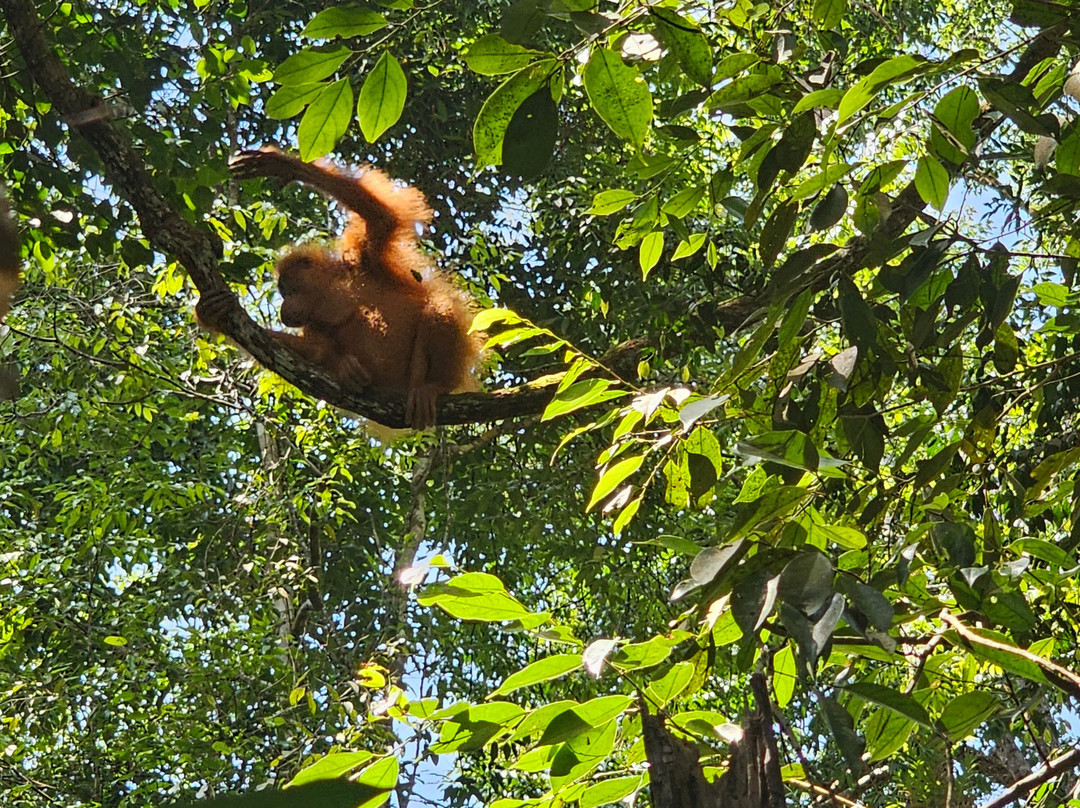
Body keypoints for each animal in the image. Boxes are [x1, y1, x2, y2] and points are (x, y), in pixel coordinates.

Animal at [196, 148, 484, 429]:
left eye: (288, 291)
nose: (283, 309)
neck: (336, 293)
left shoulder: (365, 256)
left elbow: (381, 218)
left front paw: (282, 164)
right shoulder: (314, 324)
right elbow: (309, 350)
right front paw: (213, 312)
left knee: (439, 308)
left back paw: (434, 387)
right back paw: (348, 370)